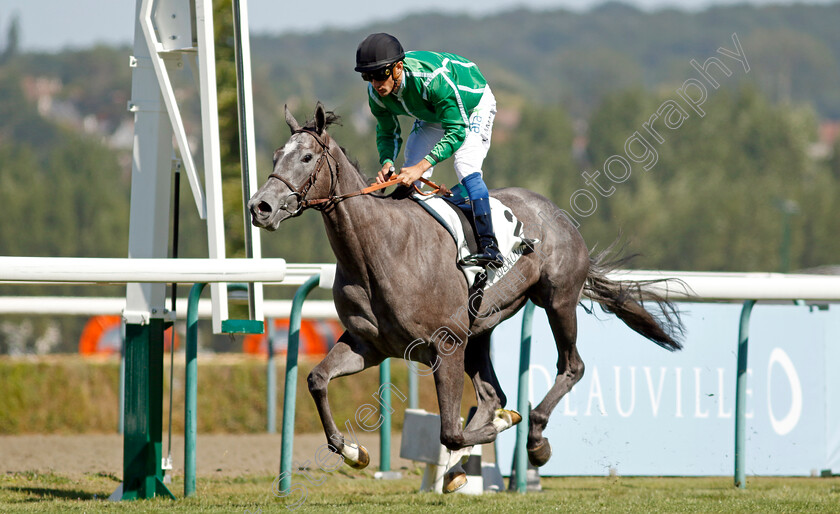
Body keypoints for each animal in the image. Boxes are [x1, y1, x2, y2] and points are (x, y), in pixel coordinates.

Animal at [249, 102, 684, 490]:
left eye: (307, 157)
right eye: (276, 155)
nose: (260, 206)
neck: (380, 250)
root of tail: (556, 213)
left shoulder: (446, 345)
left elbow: (450, 431)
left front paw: (501, 429)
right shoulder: (368, 345)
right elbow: (317, 379)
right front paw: (352, 450)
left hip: (557, 301)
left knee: (570, 367)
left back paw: (534, 439)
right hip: (481, 329)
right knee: (493, 395)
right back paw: (465, 462)